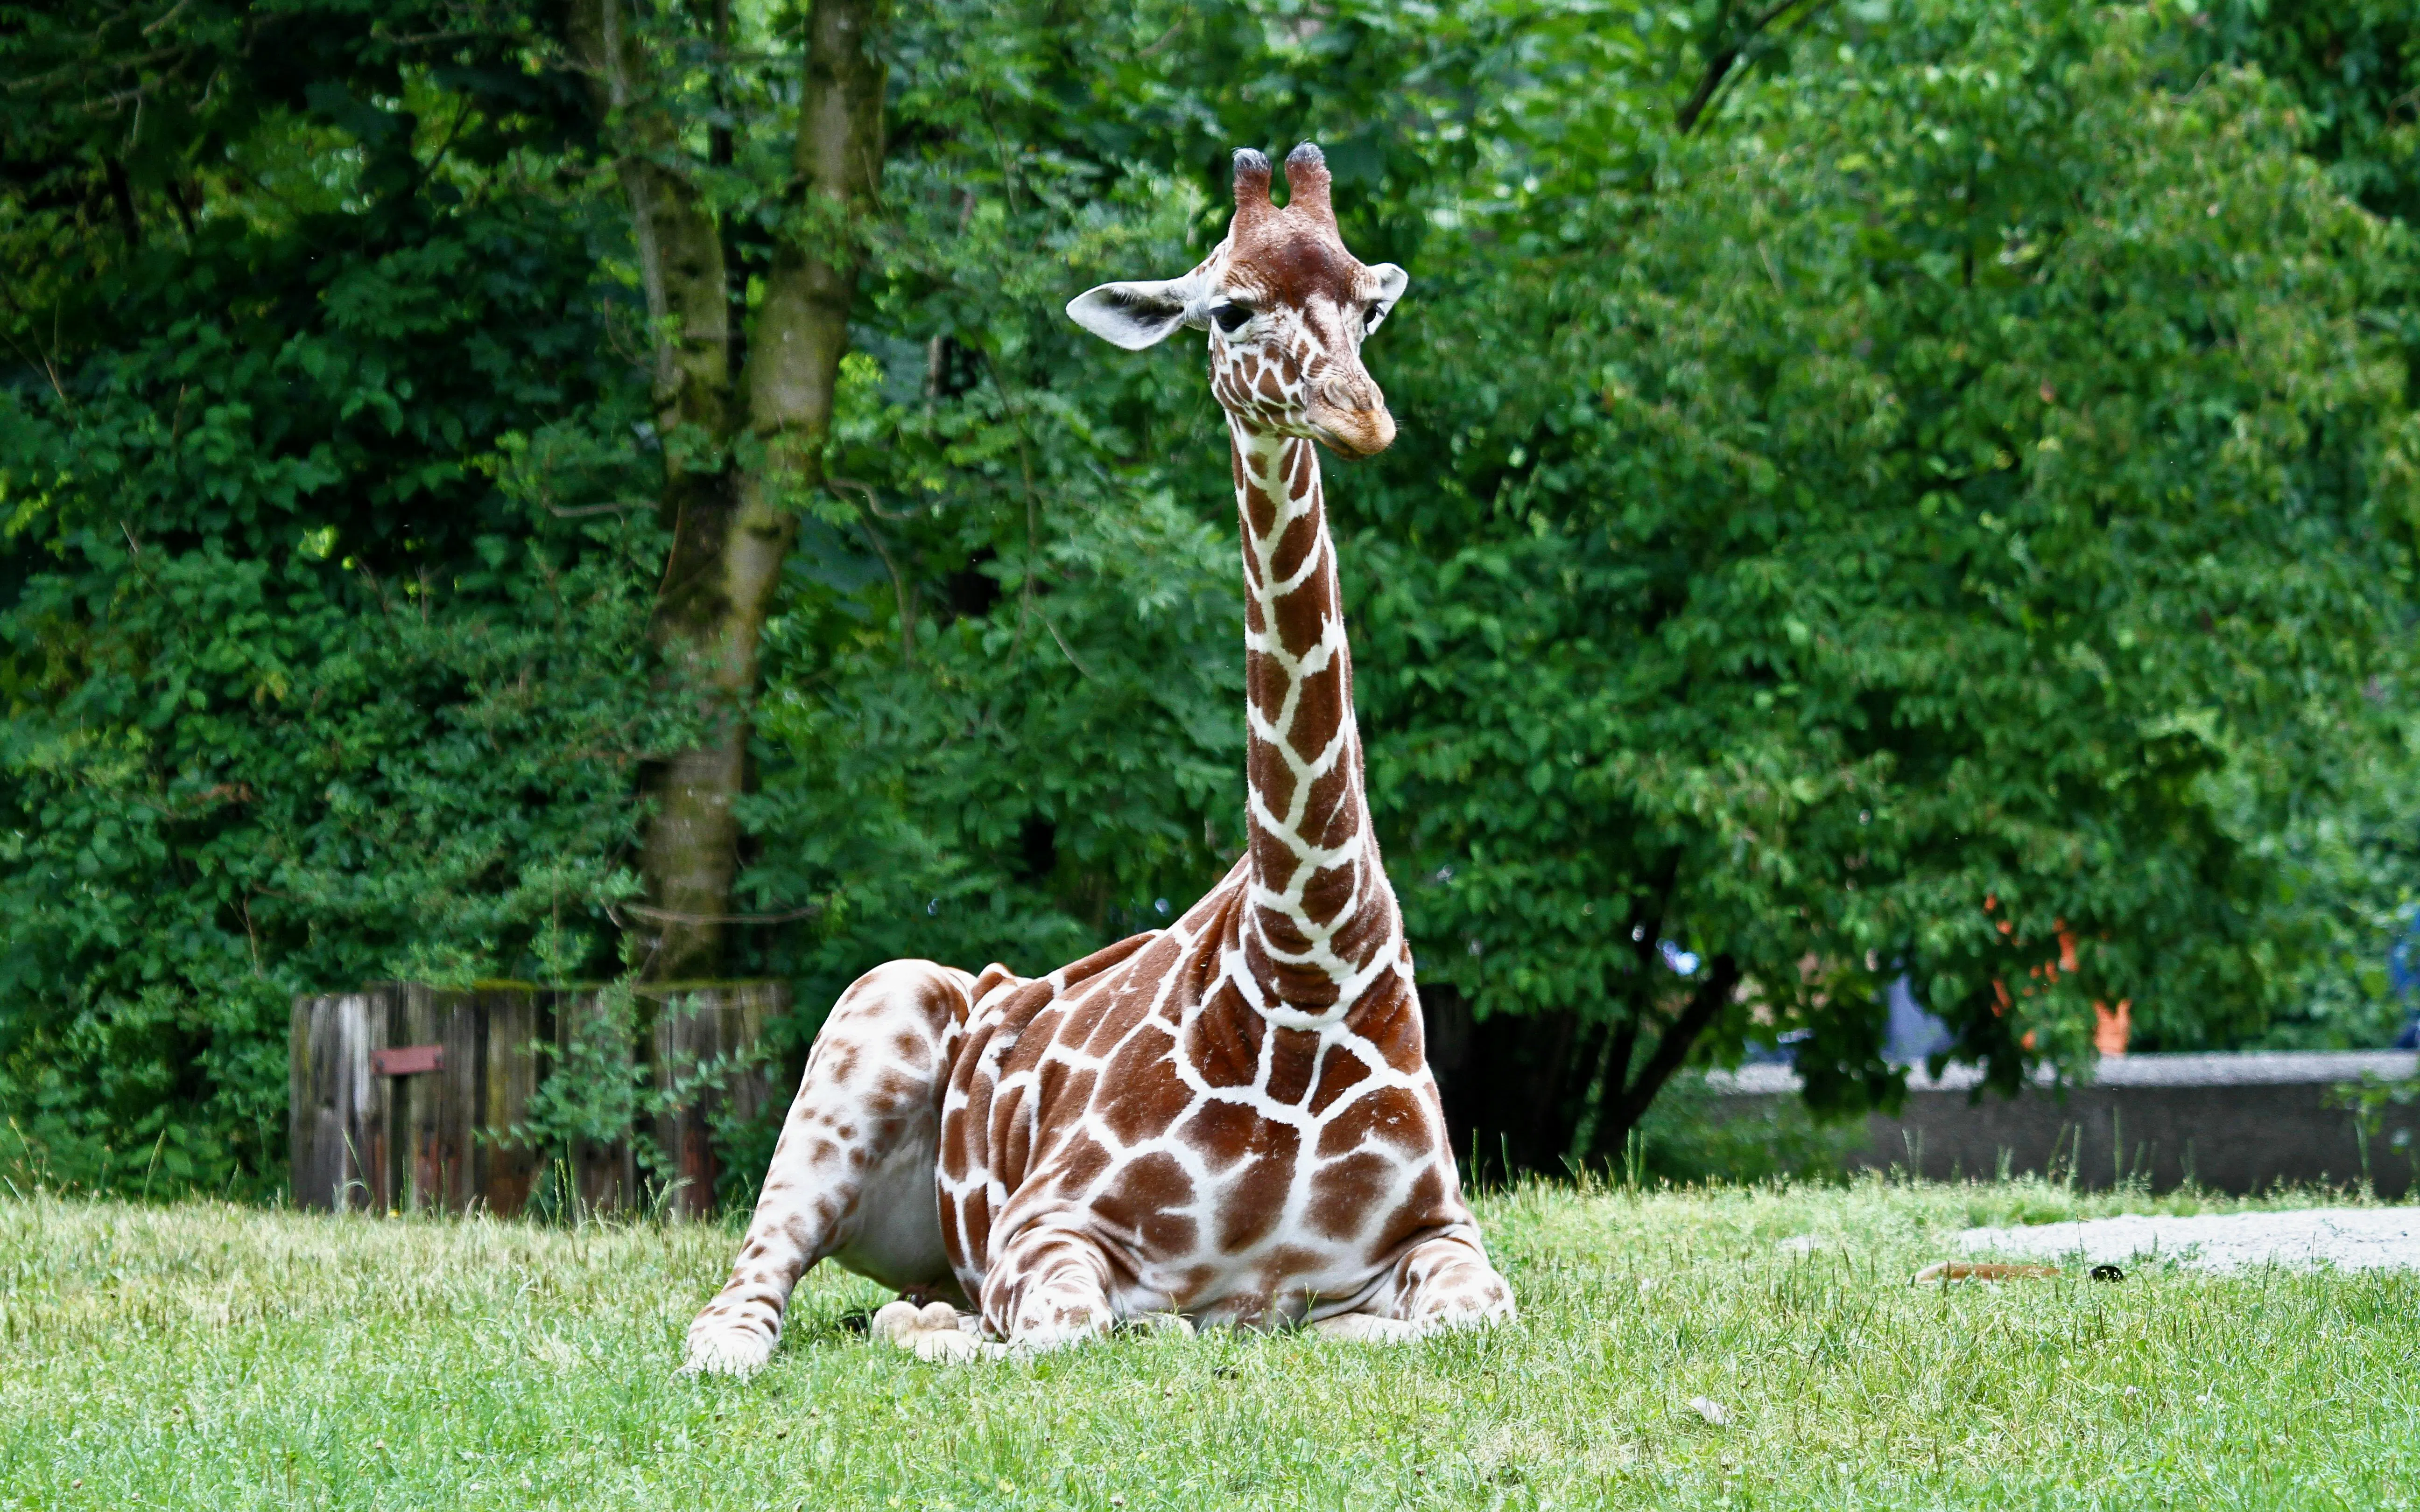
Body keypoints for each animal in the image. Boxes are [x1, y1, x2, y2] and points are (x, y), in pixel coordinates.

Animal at [682, 142, 1516, 1372]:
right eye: (1229, 308)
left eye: (1369, 303)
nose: (1359, 416)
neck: (1305, 970)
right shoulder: (1044, 1225)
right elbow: (1076, 1330)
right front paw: (946, 1330)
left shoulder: (1445, 1232)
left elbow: (1449, 1317)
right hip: (872, 1012)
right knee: (743, 1292)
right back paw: (851, 1322)